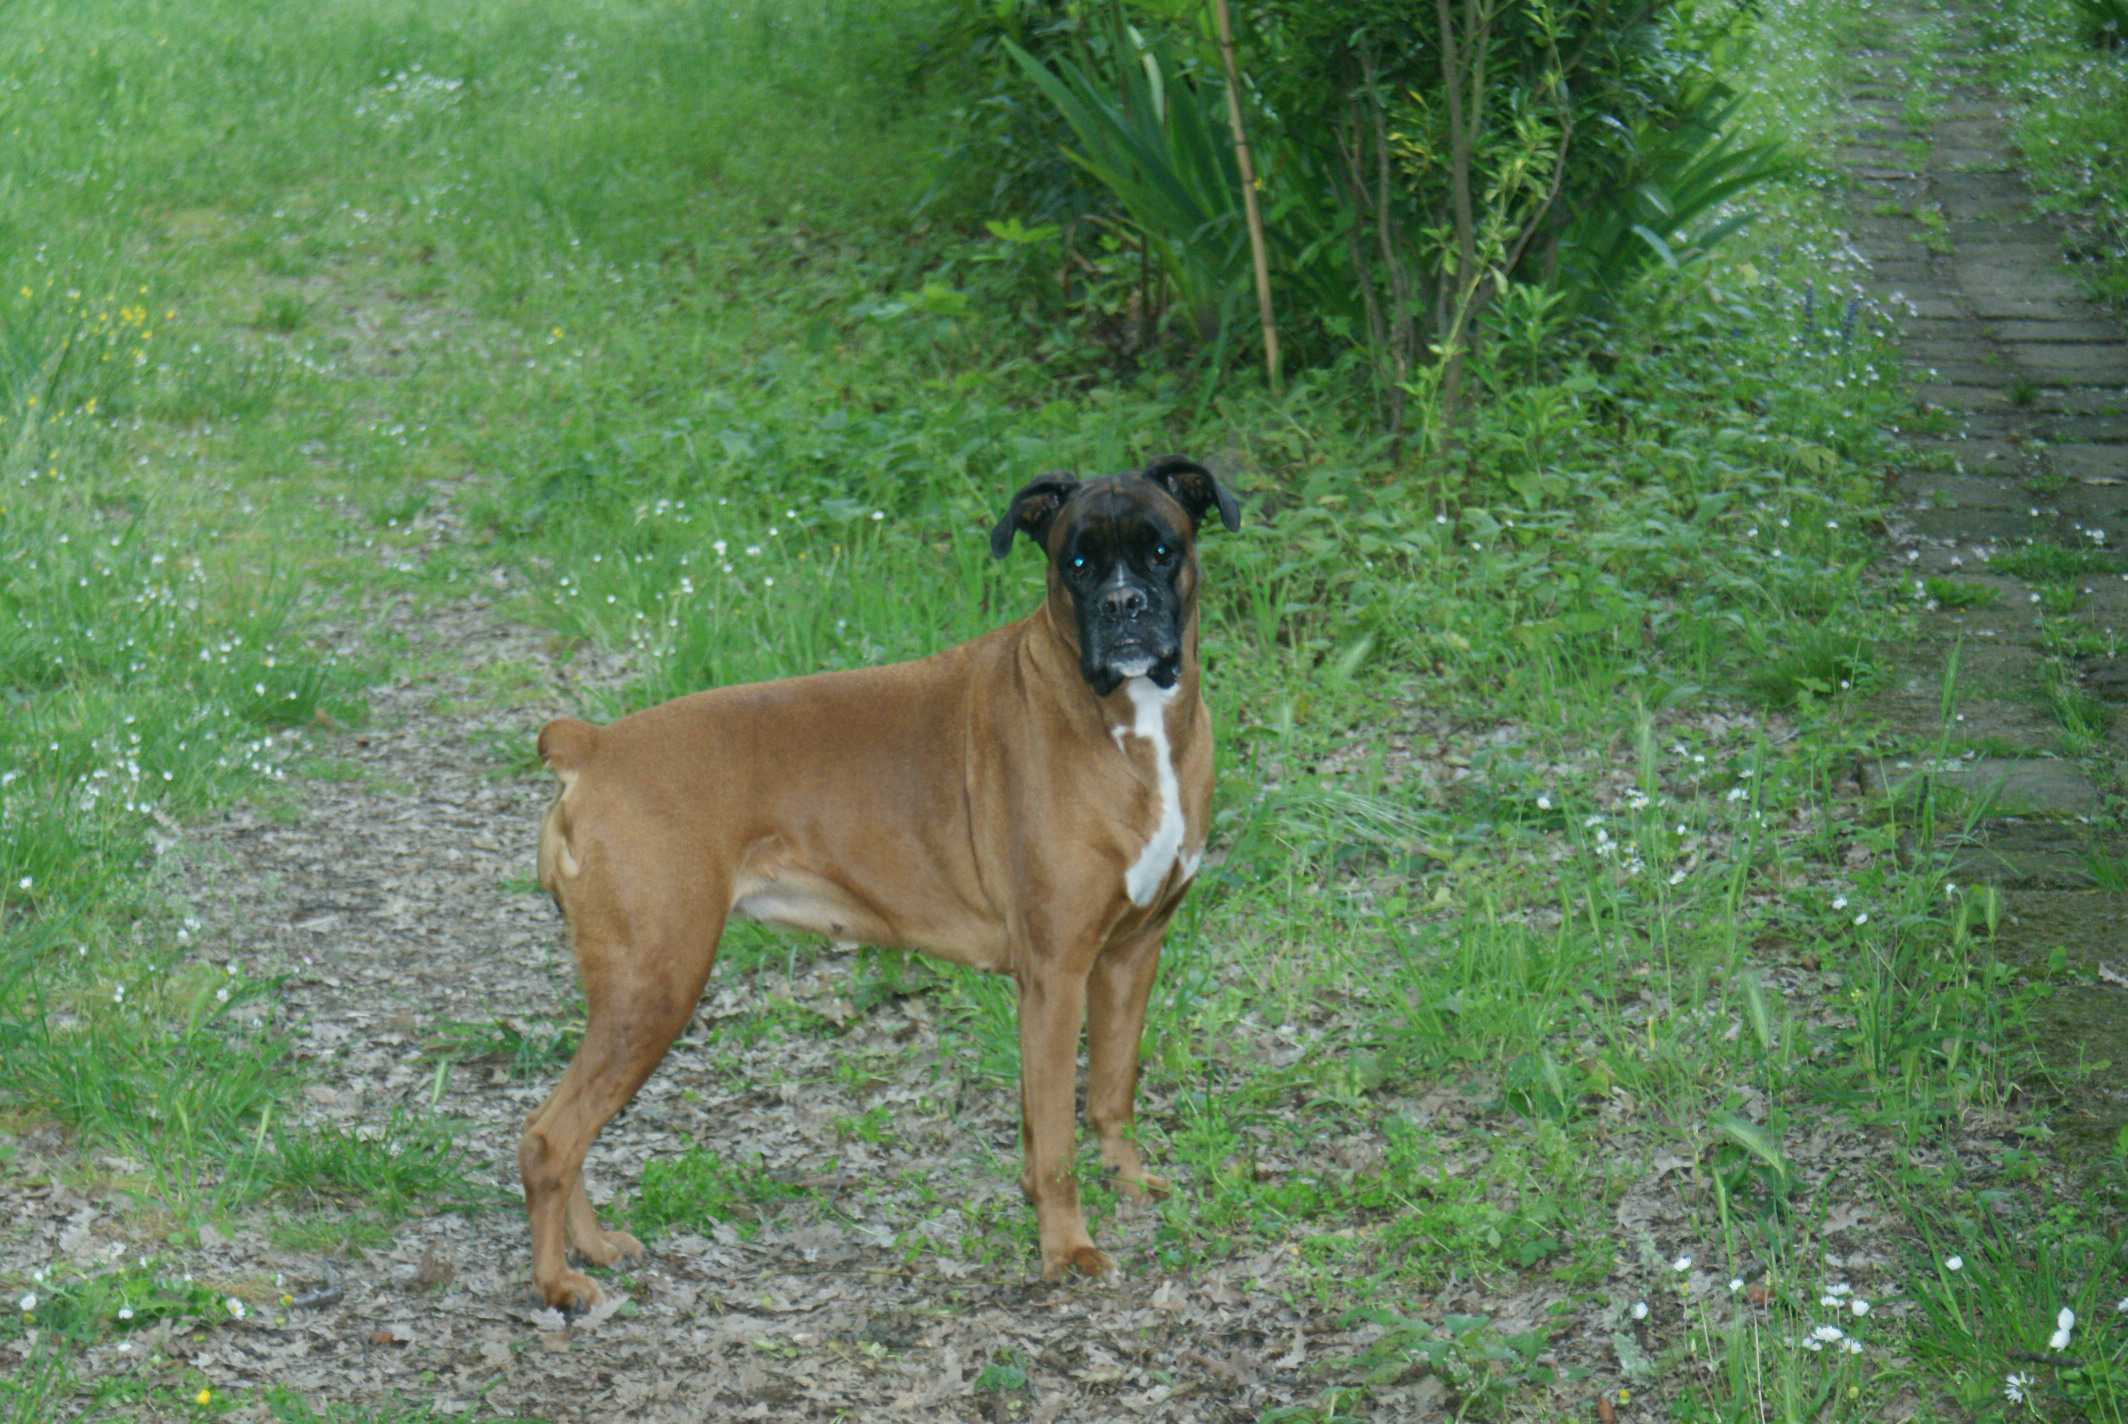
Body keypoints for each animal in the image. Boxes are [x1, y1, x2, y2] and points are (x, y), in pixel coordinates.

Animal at [519, 456, 1239, 1310]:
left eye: (1162, 550)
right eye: (1077, 563)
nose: (1124, 604)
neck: (1129, 722)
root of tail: (591, 746)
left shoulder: (1132, 953)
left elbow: (1108, 1092)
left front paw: (1124, 1182)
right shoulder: (1057, 974)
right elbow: (1056, 1136)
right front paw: (1067, 1250)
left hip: (630, 998)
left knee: (570, 1126)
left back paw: (593, 1247)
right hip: (653, 986)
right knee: (551, 1136)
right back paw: (558, 1280)